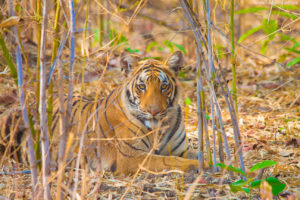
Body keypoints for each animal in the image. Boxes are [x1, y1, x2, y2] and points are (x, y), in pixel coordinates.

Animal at [2, 50, 200, 174]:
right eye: (142, 86)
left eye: (164, 86)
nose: (154, 111)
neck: (160, 128)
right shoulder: (132, 157)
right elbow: (167, 160)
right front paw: (195, 165)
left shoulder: (182, 149)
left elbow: (197, 153)